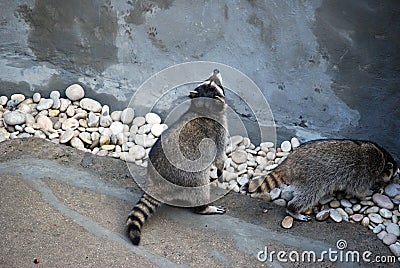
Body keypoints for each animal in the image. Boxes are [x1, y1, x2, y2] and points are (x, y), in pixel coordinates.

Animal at [127, 69, 228, 245]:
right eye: (217, 84)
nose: (216, 70)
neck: (203, 107)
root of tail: (156, 181)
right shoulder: (218, 131)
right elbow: (219, 157)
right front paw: (221, 170)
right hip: (188, 174)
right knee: (200, 186)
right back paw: (203, 207)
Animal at [248, 139, 398, 221]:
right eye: (394, 173)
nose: (395, 177)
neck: (383, 159)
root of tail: (290, 162)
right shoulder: (363, 173)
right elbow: (358, 190)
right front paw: (367, 194)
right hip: (312, 179)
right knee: (308, 196)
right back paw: (293, 210)